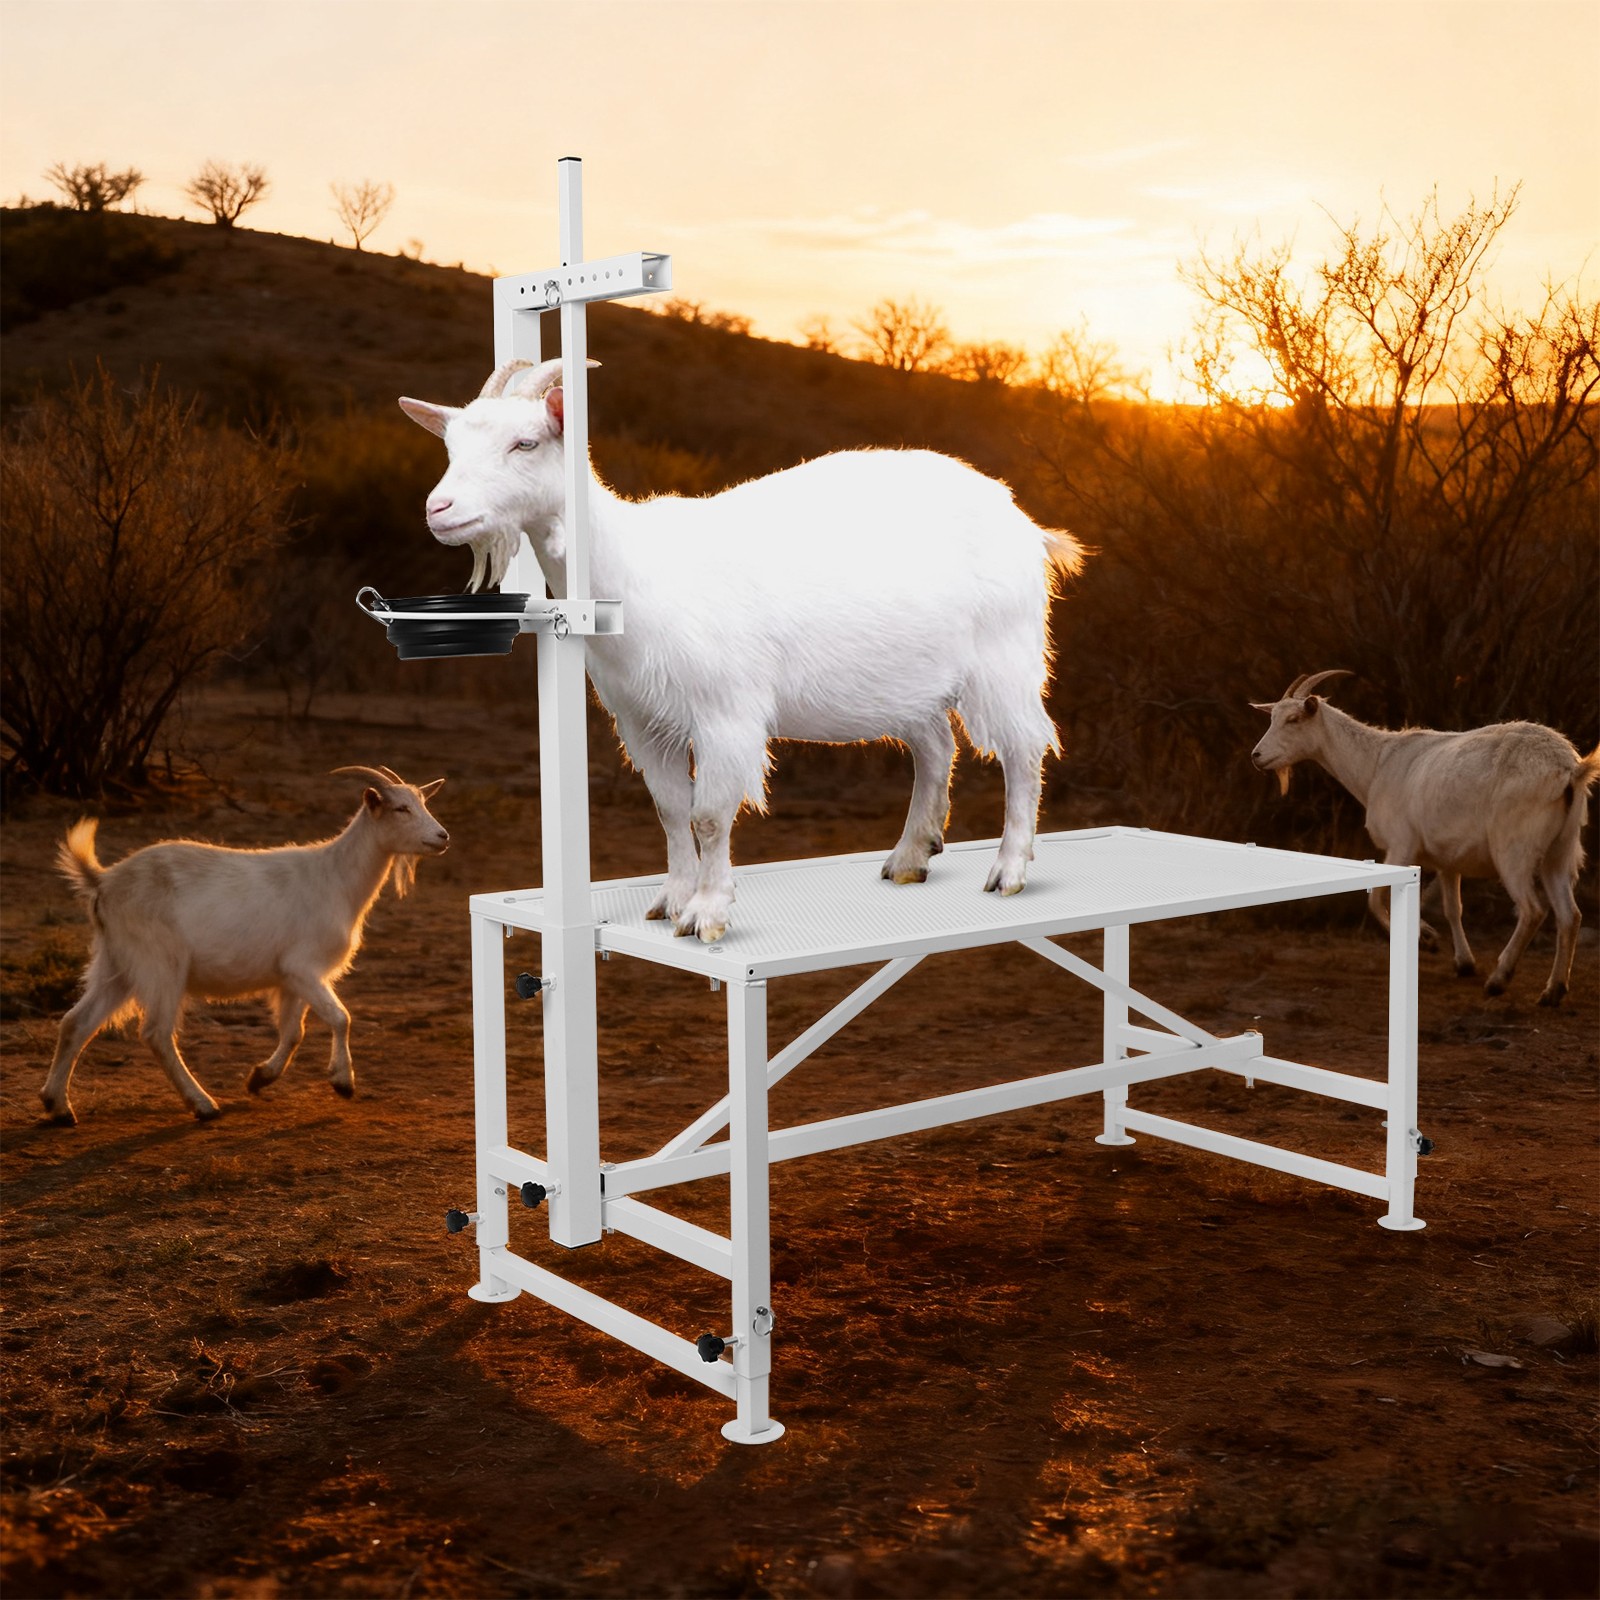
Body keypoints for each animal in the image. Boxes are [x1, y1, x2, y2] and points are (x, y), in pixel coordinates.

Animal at [40, 767, 449, 1125]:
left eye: (423, 802)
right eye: (401, 808)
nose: (442, 836)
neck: (334, 877)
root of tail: (103, 881)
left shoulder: (291, 978)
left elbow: (294, 1033)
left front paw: (260, 1078)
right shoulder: (303, 967)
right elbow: (340, 1017)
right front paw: (342, 1083)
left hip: (116, 964)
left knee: (76, 1022)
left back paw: (57, 1107)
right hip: (161, 964)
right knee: (156, 1032)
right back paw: (203, 1105)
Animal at [398, 358, 1080, 943]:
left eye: (526, 443)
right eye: (451, 448)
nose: (438, 509)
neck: (633, 569)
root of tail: (1025, 524)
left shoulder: (725, 710)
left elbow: (708, 813)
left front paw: (707, 912)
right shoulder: (644, 720)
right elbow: (670, 809)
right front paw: (671, 898)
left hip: (1005, 656)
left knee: (1024, 748)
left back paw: (1009, 868)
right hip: (909, 678)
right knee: (935, 747)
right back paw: (912, 854)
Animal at [1250, 671, 1599, 1006]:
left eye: (1294, 719)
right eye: (1272, 716)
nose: (1257, 756)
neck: (1376, 765)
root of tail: (1570, 769)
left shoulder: (1401, 844)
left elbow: (1376, 900)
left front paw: (1425, 939)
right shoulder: (1449, 857)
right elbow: (1452, 908)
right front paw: (1463, 962)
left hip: (1514, 847)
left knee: (1533, 910)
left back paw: (1499, 980)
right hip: (1561, 849)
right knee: (1570, 915)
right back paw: (1553, 991)